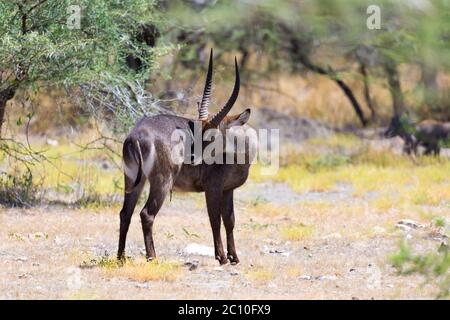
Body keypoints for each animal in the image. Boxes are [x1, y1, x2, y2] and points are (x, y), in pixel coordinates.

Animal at [118, 49, 255, 264]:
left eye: (211, 134)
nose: (190, 157)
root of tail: (136, 136)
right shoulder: (213, 188)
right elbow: (215, 219)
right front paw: (222, 257)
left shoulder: (228, 190)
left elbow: (230, 220)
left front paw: (234, 257)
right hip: (162, 182)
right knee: (146, 214)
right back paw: (152, 257)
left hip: (134, 181)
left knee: (125, 213)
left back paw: (121, 258)